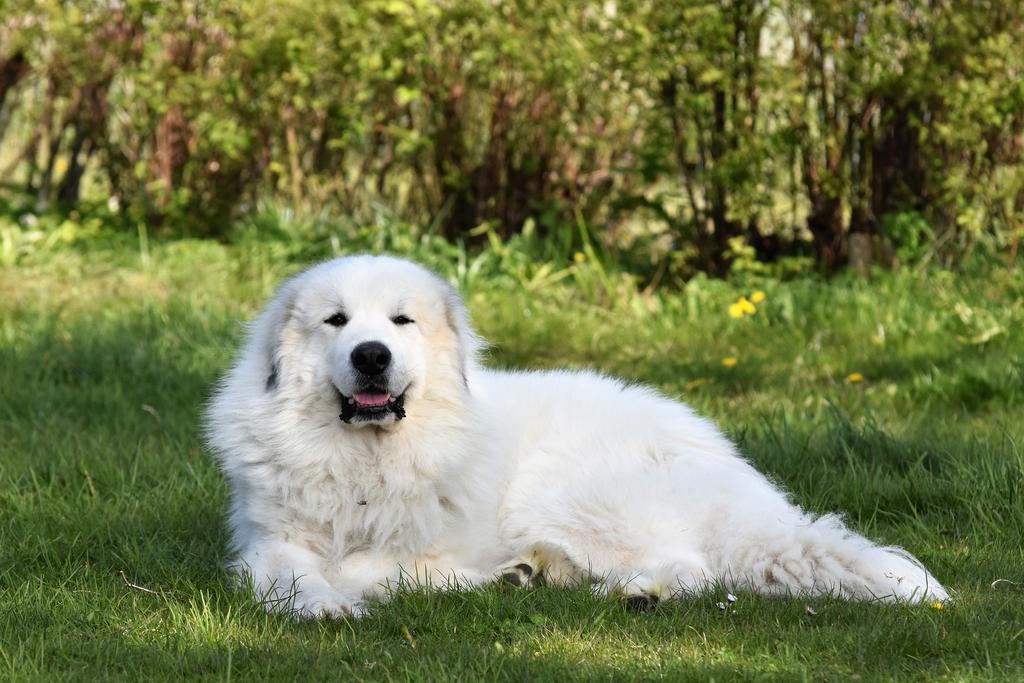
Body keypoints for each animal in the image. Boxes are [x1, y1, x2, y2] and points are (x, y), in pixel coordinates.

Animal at [203, 253, 946, 618]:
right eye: (335, 321)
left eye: (400, 321)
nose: (371, 356)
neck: (365, 461)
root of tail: (744, 480)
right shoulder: (272, 540)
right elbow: (289, 574)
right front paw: (323, 605)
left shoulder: (431, 542)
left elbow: (381, 564)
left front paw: (399, 584)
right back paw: (552, 574)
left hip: (566, 491)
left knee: (694, 565)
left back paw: (624, 591)